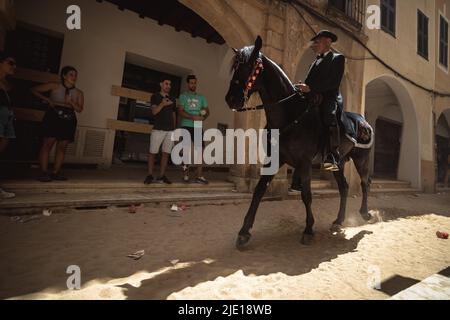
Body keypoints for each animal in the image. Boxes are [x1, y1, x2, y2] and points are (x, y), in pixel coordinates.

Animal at [224, 37, 372, 248]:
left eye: (249, 66)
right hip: (340, 162)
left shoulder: (305, 163)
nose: (231, 99)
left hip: (361, 159)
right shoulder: (274, 159)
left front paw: (309, 229)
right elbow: (259, 190)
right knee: (344, 187)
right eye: (235, 67)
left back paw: (365, 213)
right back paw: (338, 221)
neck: (290, 115)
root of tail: (363, 120)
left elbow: (306, 195)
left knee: (365, 182)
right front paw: (244, 231)